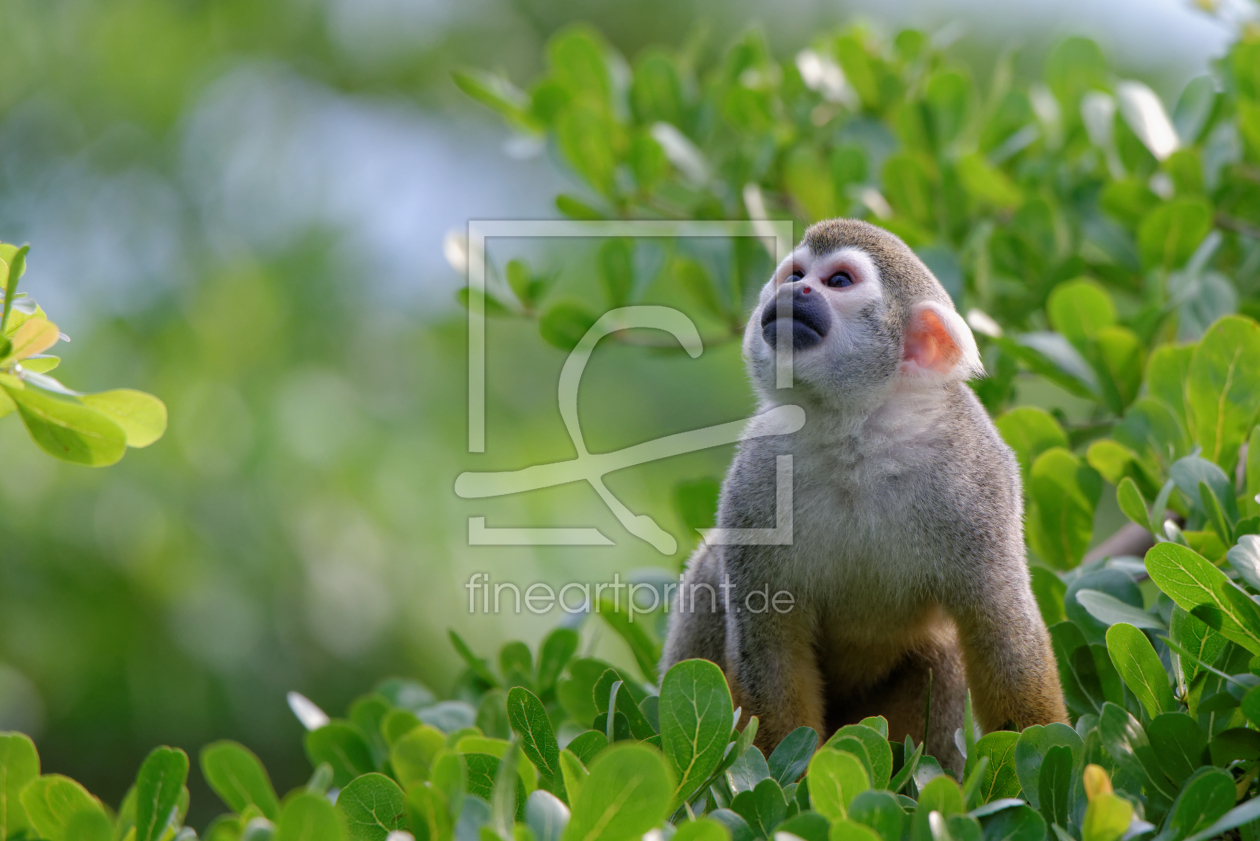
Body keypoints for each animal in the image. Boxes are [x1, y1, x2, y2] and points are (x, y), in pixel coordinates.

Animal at [665, 220, 1068, 771]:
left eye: (837, 281)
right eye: (795, 274)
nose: (795, 291)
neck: (857, 436)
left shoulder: (978, 478)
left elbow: (1003, 633)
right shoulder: (754, 476)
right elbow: (769, 647)